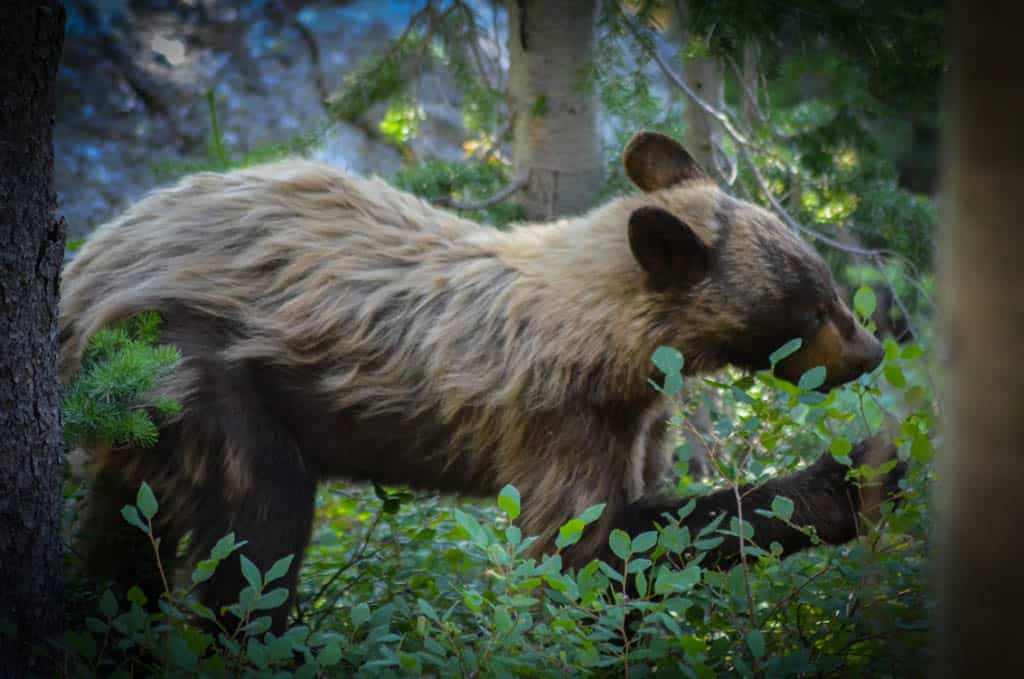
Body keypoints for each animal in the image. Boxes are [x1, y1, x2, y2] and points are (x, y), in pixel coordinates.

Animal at [59, 130, 901, 630]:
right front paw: (846, 479)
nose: (870, 354)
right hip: (190, 370)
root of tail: (82, 272)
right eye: (810, 304)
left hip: (128, 429)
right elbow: (582, 550)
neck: (620, 345)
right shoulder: (561, 417)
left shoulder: (639, 419)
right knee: (254, 531)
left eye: (828, 282)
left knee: (117, 549)